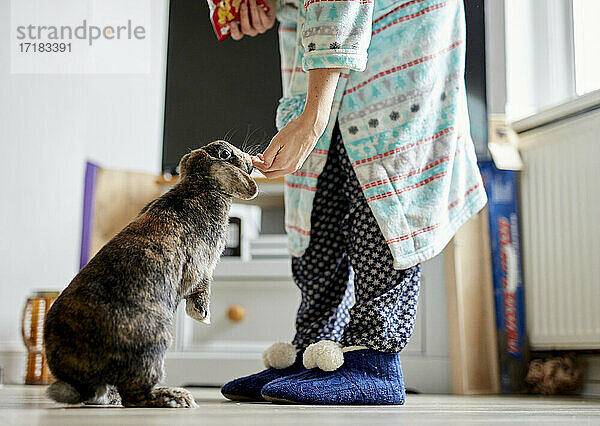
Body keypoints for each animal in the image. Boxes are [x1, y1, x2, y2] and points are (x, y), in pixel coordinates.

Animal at [42, 141, 258, 408]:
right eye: (226, 154)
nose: (250, 159)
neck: (199, 185)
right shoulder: (203, 266)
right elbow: (202, 286)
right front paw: (202, 315)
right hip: (156, 341)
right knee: (136, 394)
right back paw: (176, 398)